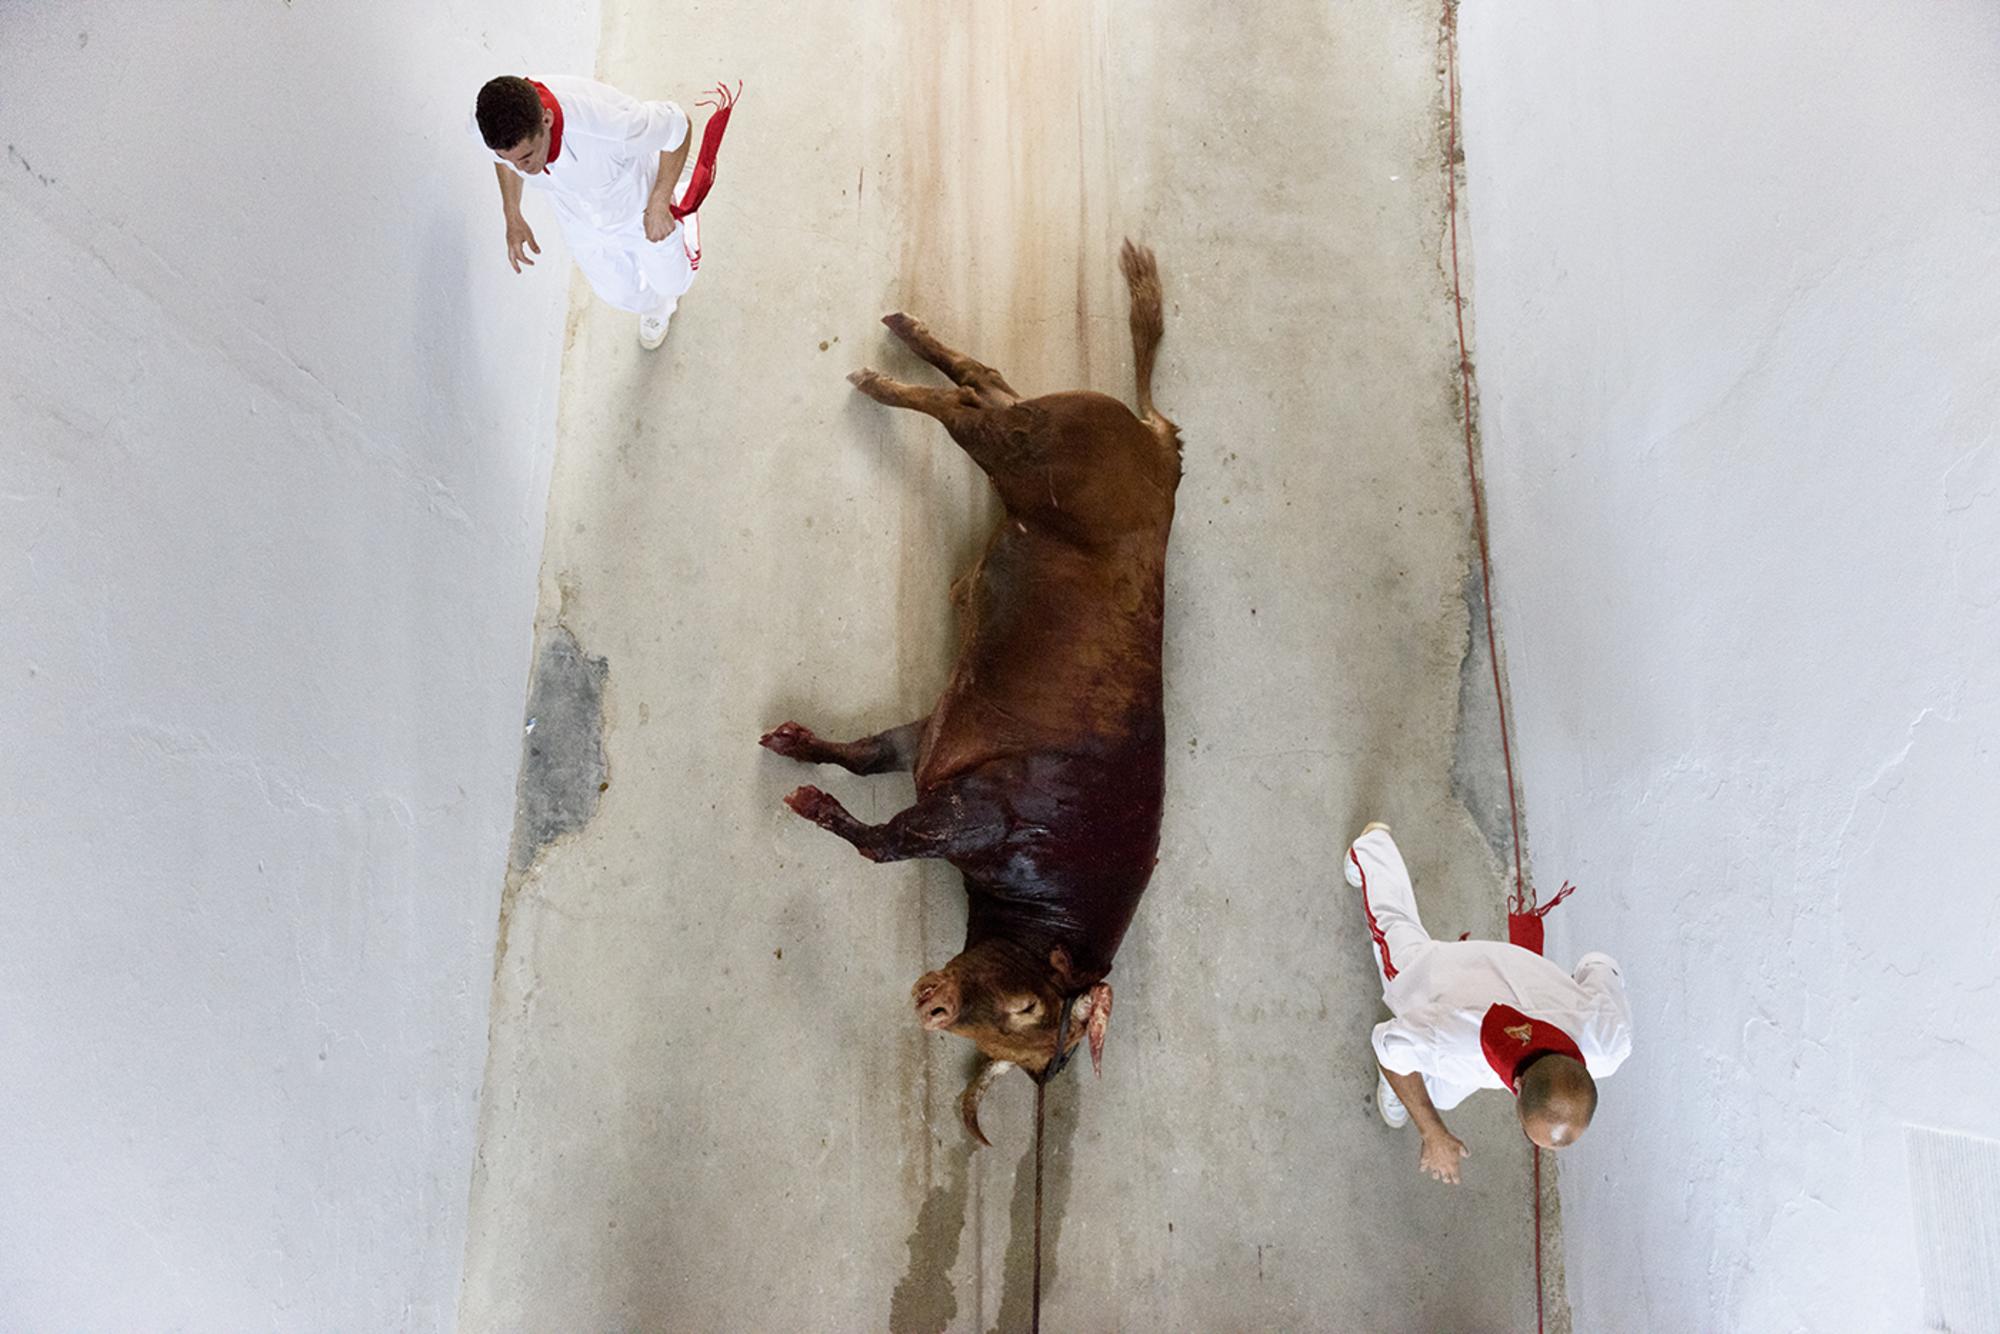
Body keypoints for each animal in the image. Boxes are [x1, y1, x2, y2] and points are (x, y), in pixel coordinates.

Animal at [756, 243, 1176, 1152]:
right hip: (1033, 449)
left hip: (1030, 443)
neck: (1049, 896)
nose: (935, 1007)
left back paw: (904, 337)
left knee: (987, 384)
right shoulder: (971, 810)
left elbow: (867, 759)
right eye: (1025, 1007)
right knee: (967, 408)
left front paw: (800, 750)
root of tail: (1165, 460)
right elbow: (882, 840)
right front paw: (812, 800)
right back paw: (883, 380)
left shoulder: (934, 744)